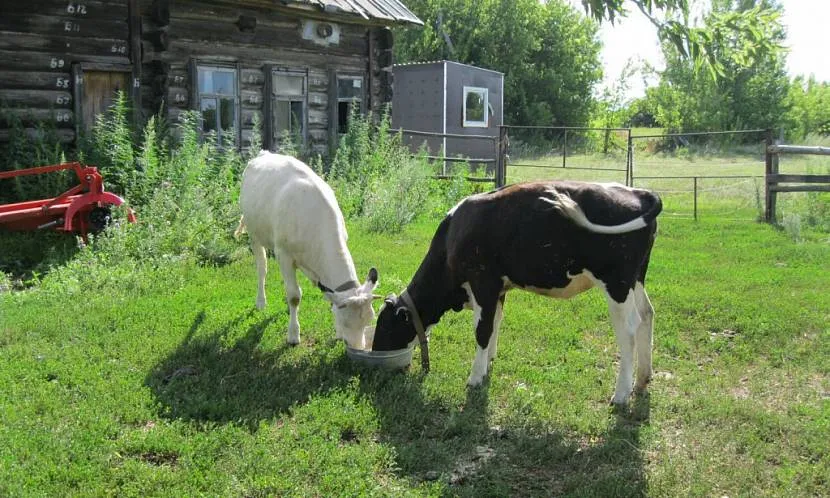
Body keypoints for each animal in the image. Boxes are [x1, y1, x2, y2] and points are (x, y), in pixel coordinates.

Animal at [237, 150, 380, 348]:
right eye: (345, 321)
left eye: (369, 320)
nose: (358, 348)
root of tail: (264, 153)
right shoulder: (284, 254)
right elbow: (294, 296)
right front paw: (293, 335)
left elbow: (327, 296)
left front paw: (337, 333)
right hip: (254, 233)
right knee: (262, 268)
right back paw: (261, 301)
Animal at [374, 181, 668, 406]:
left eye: (385, 327)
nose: (376, 355)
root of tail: (639, 192)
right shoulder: (499, 288)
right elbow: (495, 323)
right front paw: (488, 362)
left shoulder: (483, 282)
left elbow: (482, 330)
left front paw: (475, 377)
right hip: (636, 279)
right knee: (648, 314)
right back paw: (643, 379)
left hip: (616, 283)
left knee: (629, 329)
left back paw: (621, 394)